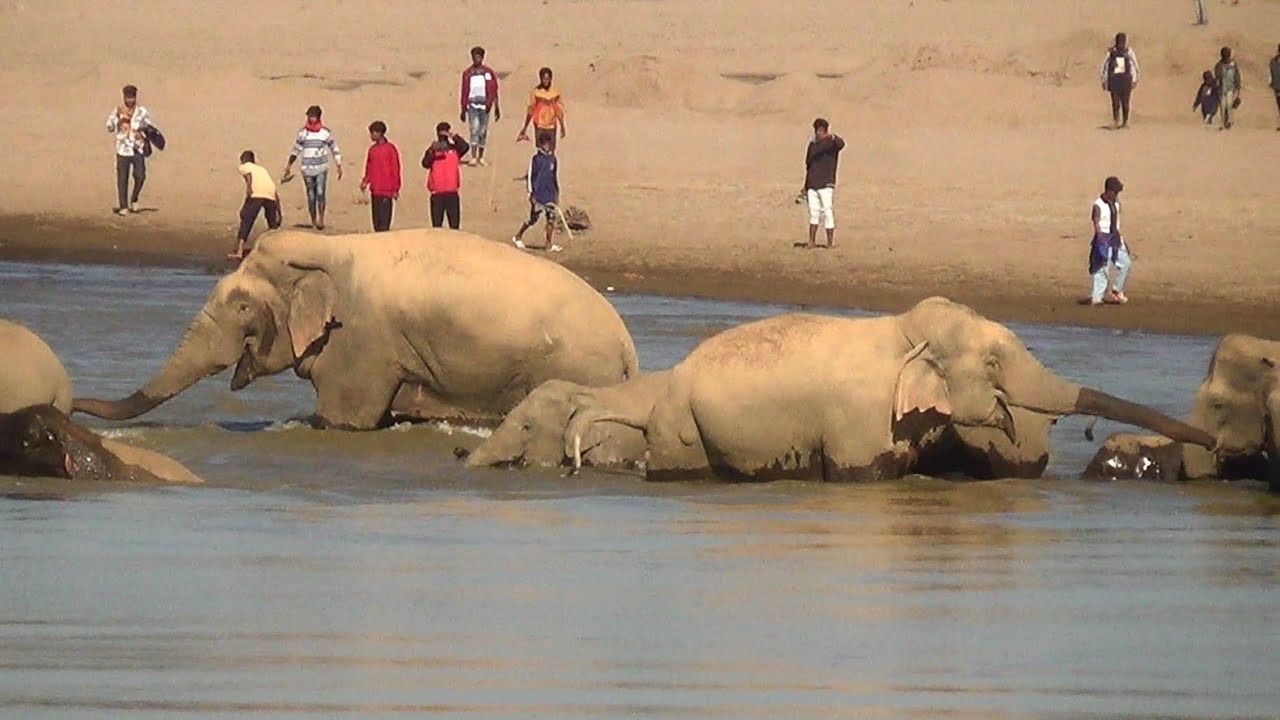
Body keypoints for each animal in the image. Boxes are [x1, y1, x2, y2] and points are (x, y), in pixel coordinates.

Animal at [72, 229, 639, 430]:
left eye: (241, 306)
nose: (73, 403)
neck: (326, 248)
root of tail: (628, 348)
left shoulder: (361, 341)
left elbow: (343, 419)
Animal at [550, 297, 1215, 482]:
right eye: (993, 363)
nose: (1212, 442)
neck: (905, 334)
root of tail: (672, 374)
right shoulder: (857, 419)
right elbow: (862, 477)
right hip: (680, 425)